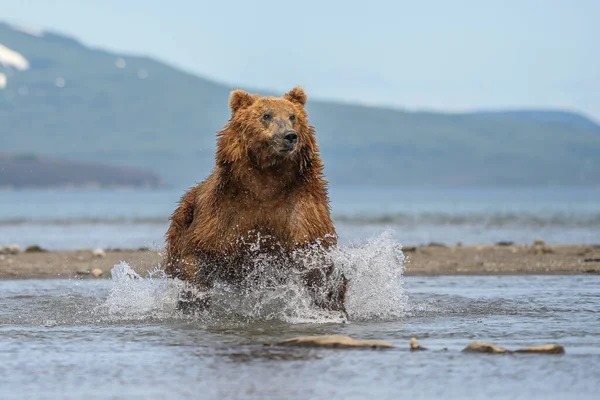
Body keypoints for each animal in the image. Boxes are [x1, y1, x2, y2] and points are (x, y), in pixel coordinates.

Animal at [163, 86, 346, 314]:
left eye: (292, 116)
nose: (289, 136)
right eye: (266, 115)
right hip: (181, 221)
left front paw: (330, 302)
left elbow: (316, 258)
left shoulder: (300, 208)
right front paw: (194, 301)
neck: (267, 181)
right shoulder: (225, 211)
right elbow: (197, 254)